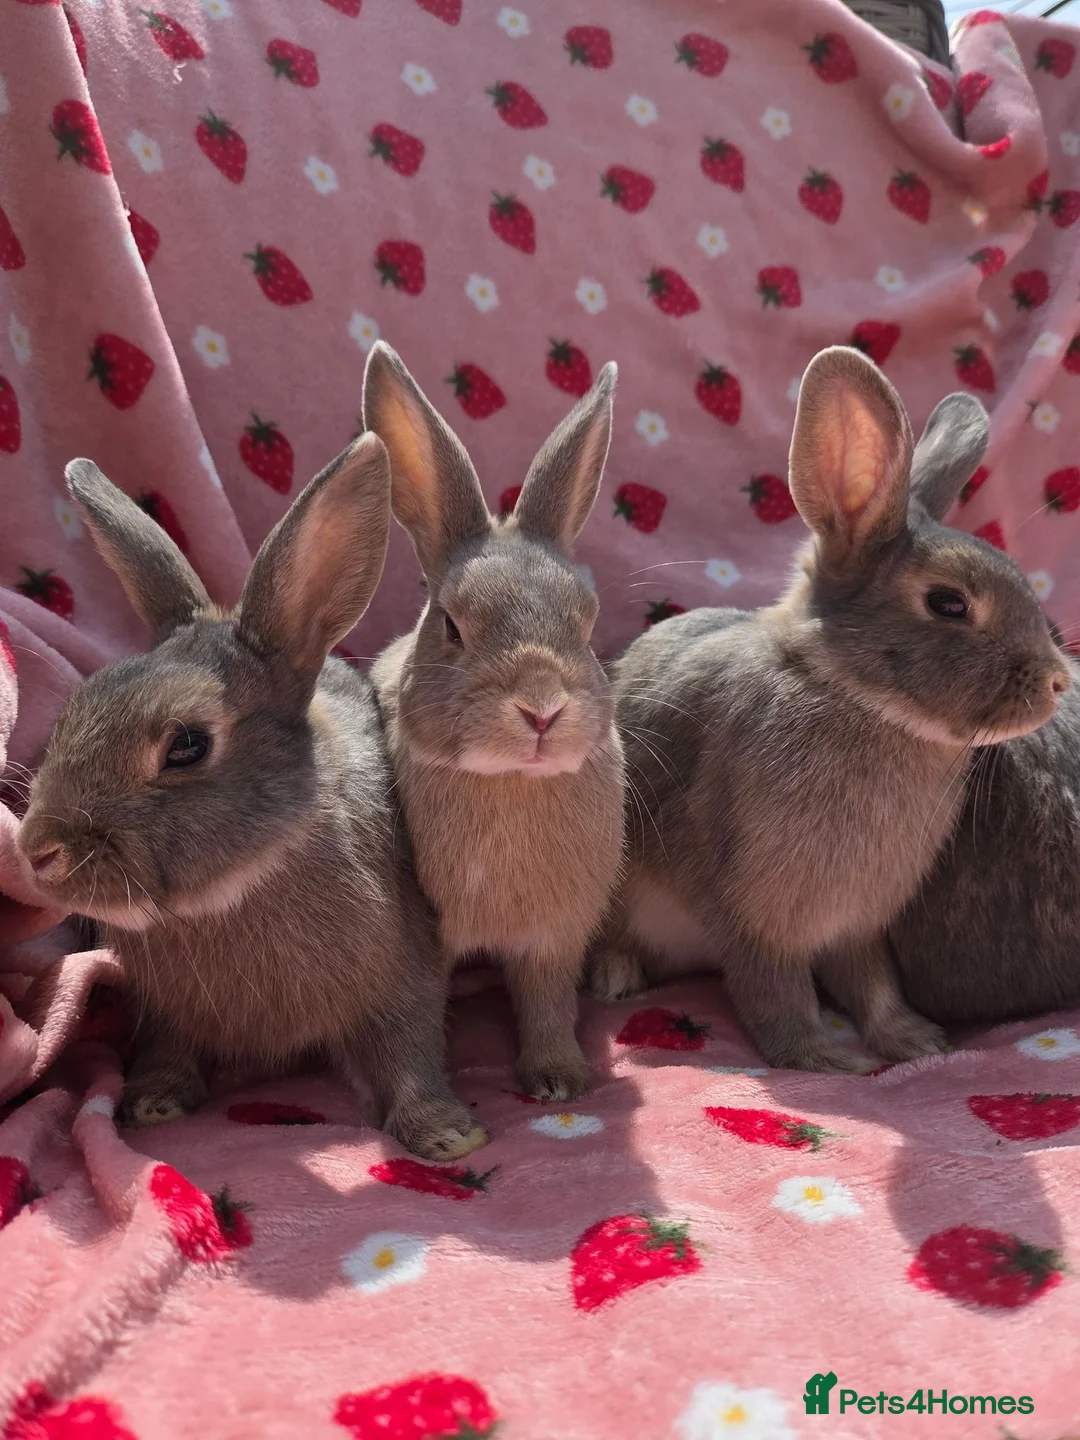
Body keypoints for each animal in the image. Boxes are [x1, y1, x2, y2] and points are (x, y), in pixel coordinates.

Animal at [17, 440, 487, 1162]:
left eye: (187, 745)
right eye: (76, 706)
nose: (37, 850)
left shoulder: (405, 977)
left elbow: (409, 1050)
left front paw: (447, 1135)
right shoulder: (165, 1012)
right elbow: (166, 1047)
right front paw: (152, 1103)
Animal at [363, 342, 624, 1102]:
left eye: (587, 620)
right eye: (452, 625)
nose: (542, 707)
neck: (511, 782)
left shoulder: (553, 936)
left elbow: (548, 1003)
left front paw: (560, 1080)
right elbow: (417, 1009)